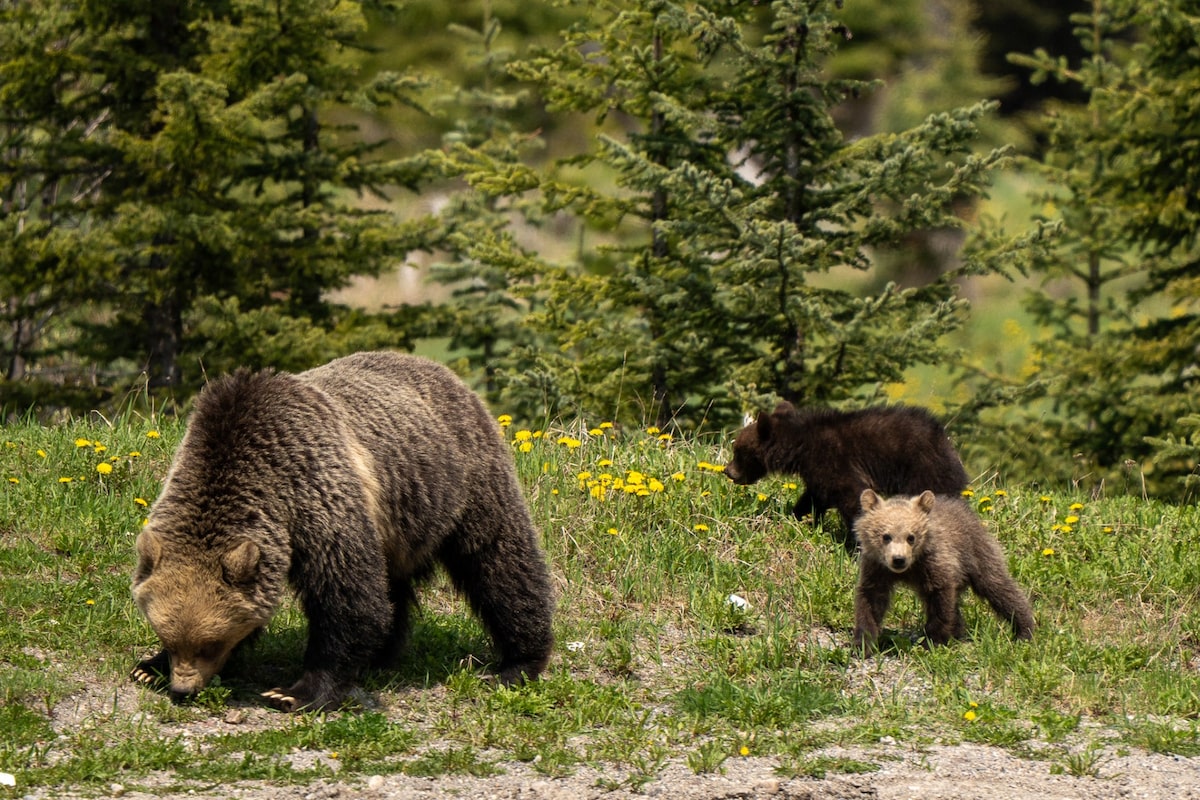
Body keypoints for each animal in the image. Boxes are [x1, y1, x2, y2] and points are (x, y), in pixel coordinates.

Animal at [130, 351, 555, 712]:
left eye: (210, 643)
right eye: (168, 637)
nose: (183, 689)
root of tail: (443, 371)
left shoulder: (316, 492)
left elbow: (347, 596)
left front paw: (294, 692)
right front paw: (148, 667)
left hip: (464, 480)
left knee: (500, 563)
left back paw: (518, 663)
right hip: (398, 521)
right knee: (394, 586)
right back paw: (382, 655)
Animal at [723, 401, 969, 552]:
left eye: (738, 451)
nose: (728, 471)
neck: (800, 448)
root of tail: (945, 442)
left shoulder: (834, 461)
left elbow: (852, 496)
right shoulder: (818, 474)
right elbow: (813, 499)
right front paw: (796, 517)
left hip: (923, 469)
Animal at [851, 489, 1034, 651]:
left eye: (911, 537)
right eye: (885, 536)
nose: (898, 559)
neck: (910, 568)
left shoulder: (934, 564)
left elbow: (940, 602)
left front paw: (932, 642)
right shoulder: (877, 568)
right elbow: (871, 600)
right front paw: (863, 644)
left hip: (976, 551)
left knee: (997, 586)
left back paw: (1024, 630)